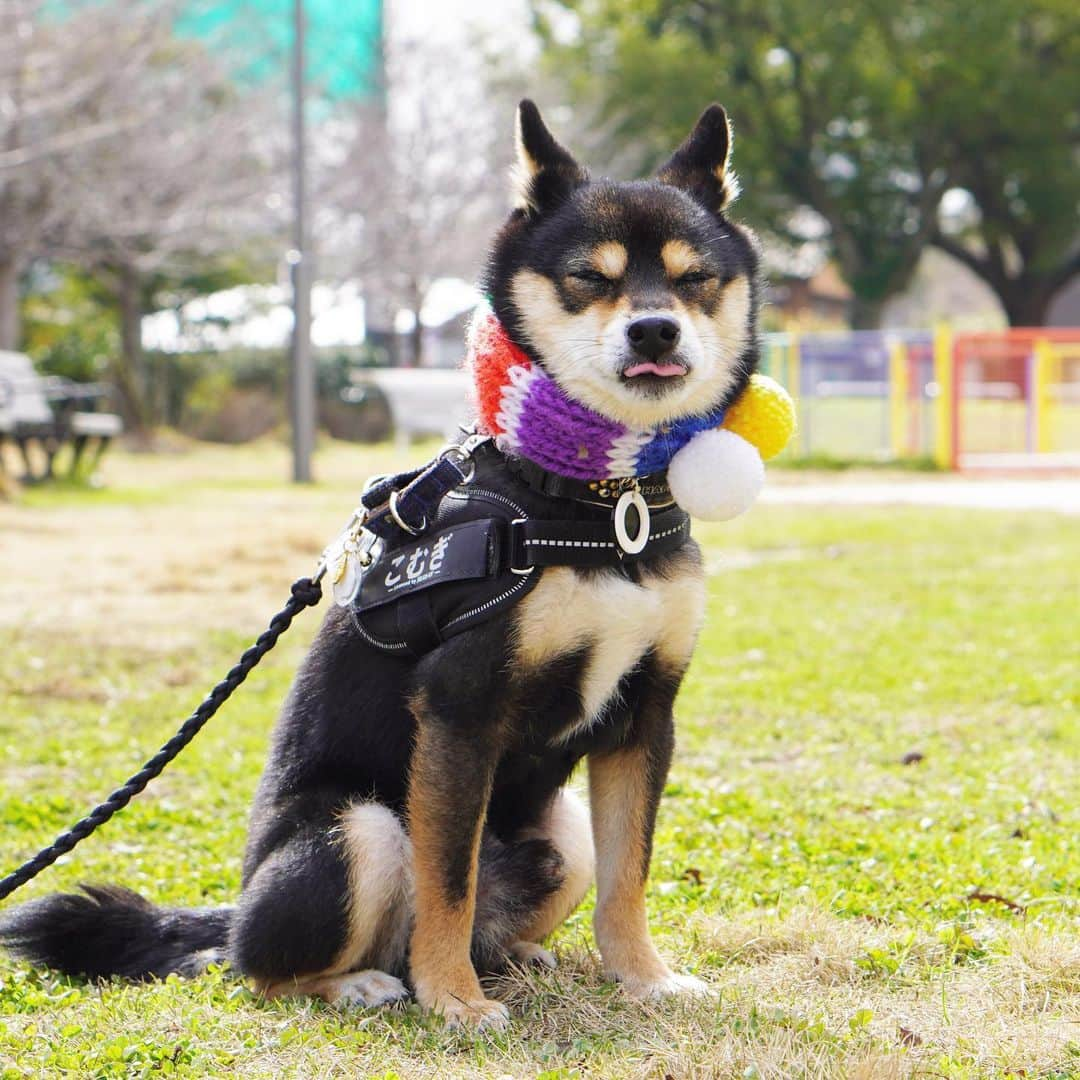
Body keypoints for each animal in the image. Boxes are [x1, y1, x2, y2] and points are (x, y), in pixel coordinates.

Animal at [0, 101, 760, 1028]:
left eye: (694, 280)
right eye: (590, 276)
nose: (655, 327)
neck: (597, 503)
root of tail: (232, 905)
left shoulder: (645, 713)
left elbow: (629, 878)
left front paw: (644, 978)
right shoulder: (459, 708)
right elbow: (447, 882)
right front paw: (456, 1004)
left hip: (565, 830)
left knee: (507, 908)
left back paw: (520, 957)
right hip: (357, 829)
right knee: (259, 964)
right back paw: (365, 982)